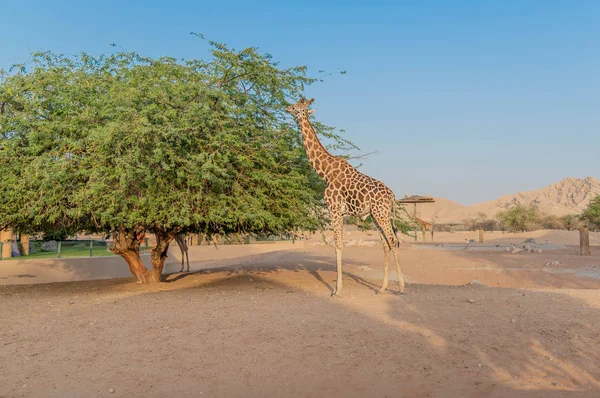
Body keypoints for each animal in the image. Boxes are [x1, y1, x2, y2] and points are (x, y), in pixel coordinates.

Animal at [288, 97, 408, 296]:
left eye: (297, 107)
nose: (287, 107)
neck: (325, 172)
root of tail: (392, 197)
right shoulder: (341, 213)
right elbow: (340, 244)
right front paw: (338, 288)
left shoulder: (334, 209)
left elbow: (338, 245)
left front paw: (337, 290)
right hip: (377, 215)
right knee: (385, 244)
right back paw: (382, 288)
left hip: (381, 214)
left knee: (393, 241)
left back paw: (401, 288)